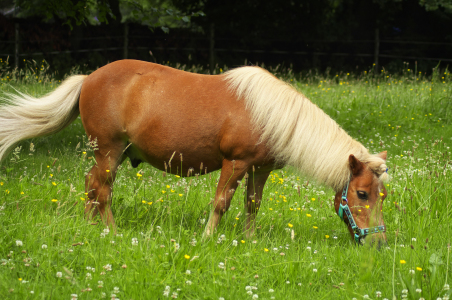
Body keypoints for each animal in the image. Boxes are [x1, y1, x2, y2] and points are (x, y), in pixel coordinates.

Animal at [0, 59, 388, 245]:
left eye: (382, 195)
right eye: (362, 193)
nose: (379, 244)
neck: (272, 114)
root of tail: (88, 78)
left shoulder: (259, 169)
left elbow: (253, 204)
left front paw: (249, 240)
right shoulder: (235, 163)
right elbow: (221, 203)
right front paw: (208, 238)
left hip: (111, 154)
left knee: (90, 185)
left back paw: (89, 225)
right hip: (109, 152)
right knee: (102, 189)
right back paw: (111, 231)